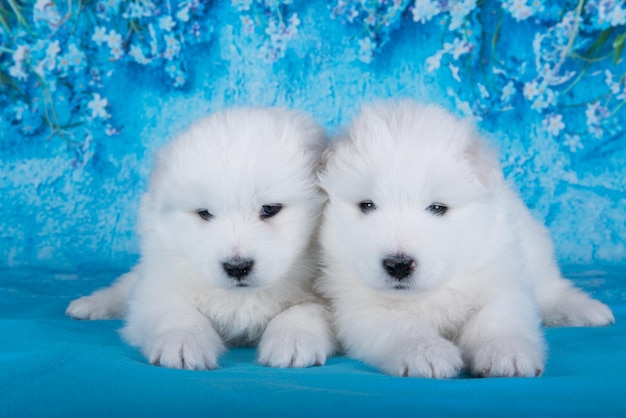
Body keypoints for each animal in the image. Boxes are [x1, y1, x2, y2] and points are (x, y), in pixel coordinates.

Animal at [67, 107, 336, 370]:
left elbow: (305, 310)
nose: (237, 268)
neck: (241, 296)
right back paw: (90, 304)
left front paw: (294, 341)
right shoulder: (161, 287)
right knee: (126, 286)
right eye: (205, 213)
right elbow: (178, 313)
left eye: (270, 209)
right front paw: (182, 344)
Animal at [320, 101, 612, 378]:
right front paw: (428, 353)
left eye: (438, 208)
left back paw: (588, 309)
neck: (433, 291)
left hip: (535, 249)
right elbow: (401, 326)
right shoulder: (359, 306)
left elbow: (498, 319)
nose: (398, 265)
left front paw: (505, 353)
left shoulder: (500, 276)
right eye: (367, 205)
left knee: (550, 289)